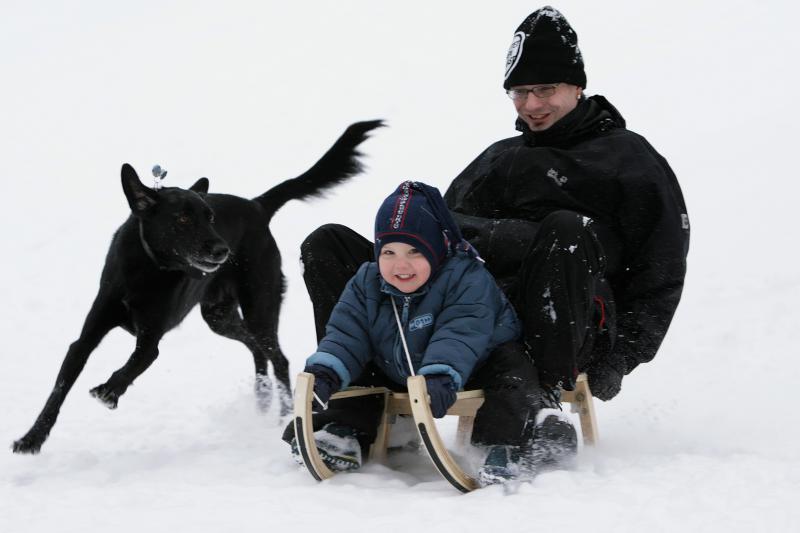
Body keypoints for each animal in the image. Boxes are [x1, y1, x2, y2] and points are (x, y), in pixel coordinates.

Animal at [13, 119, 384, 454]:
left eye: (210, 217)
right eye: (181, 218)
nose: (222, 250)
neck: (147, 267)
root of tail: (256, 205)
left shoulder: (150, 341)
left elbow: (131, 365)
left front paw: (109, 392)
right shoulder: (86, 338)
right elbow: (58, 390)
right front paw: (32, 439)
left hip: (259, 305)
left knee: (277, 356)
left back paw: (282, 411)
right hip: (219, 316)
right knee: (256, 349)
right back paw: (262, 396)